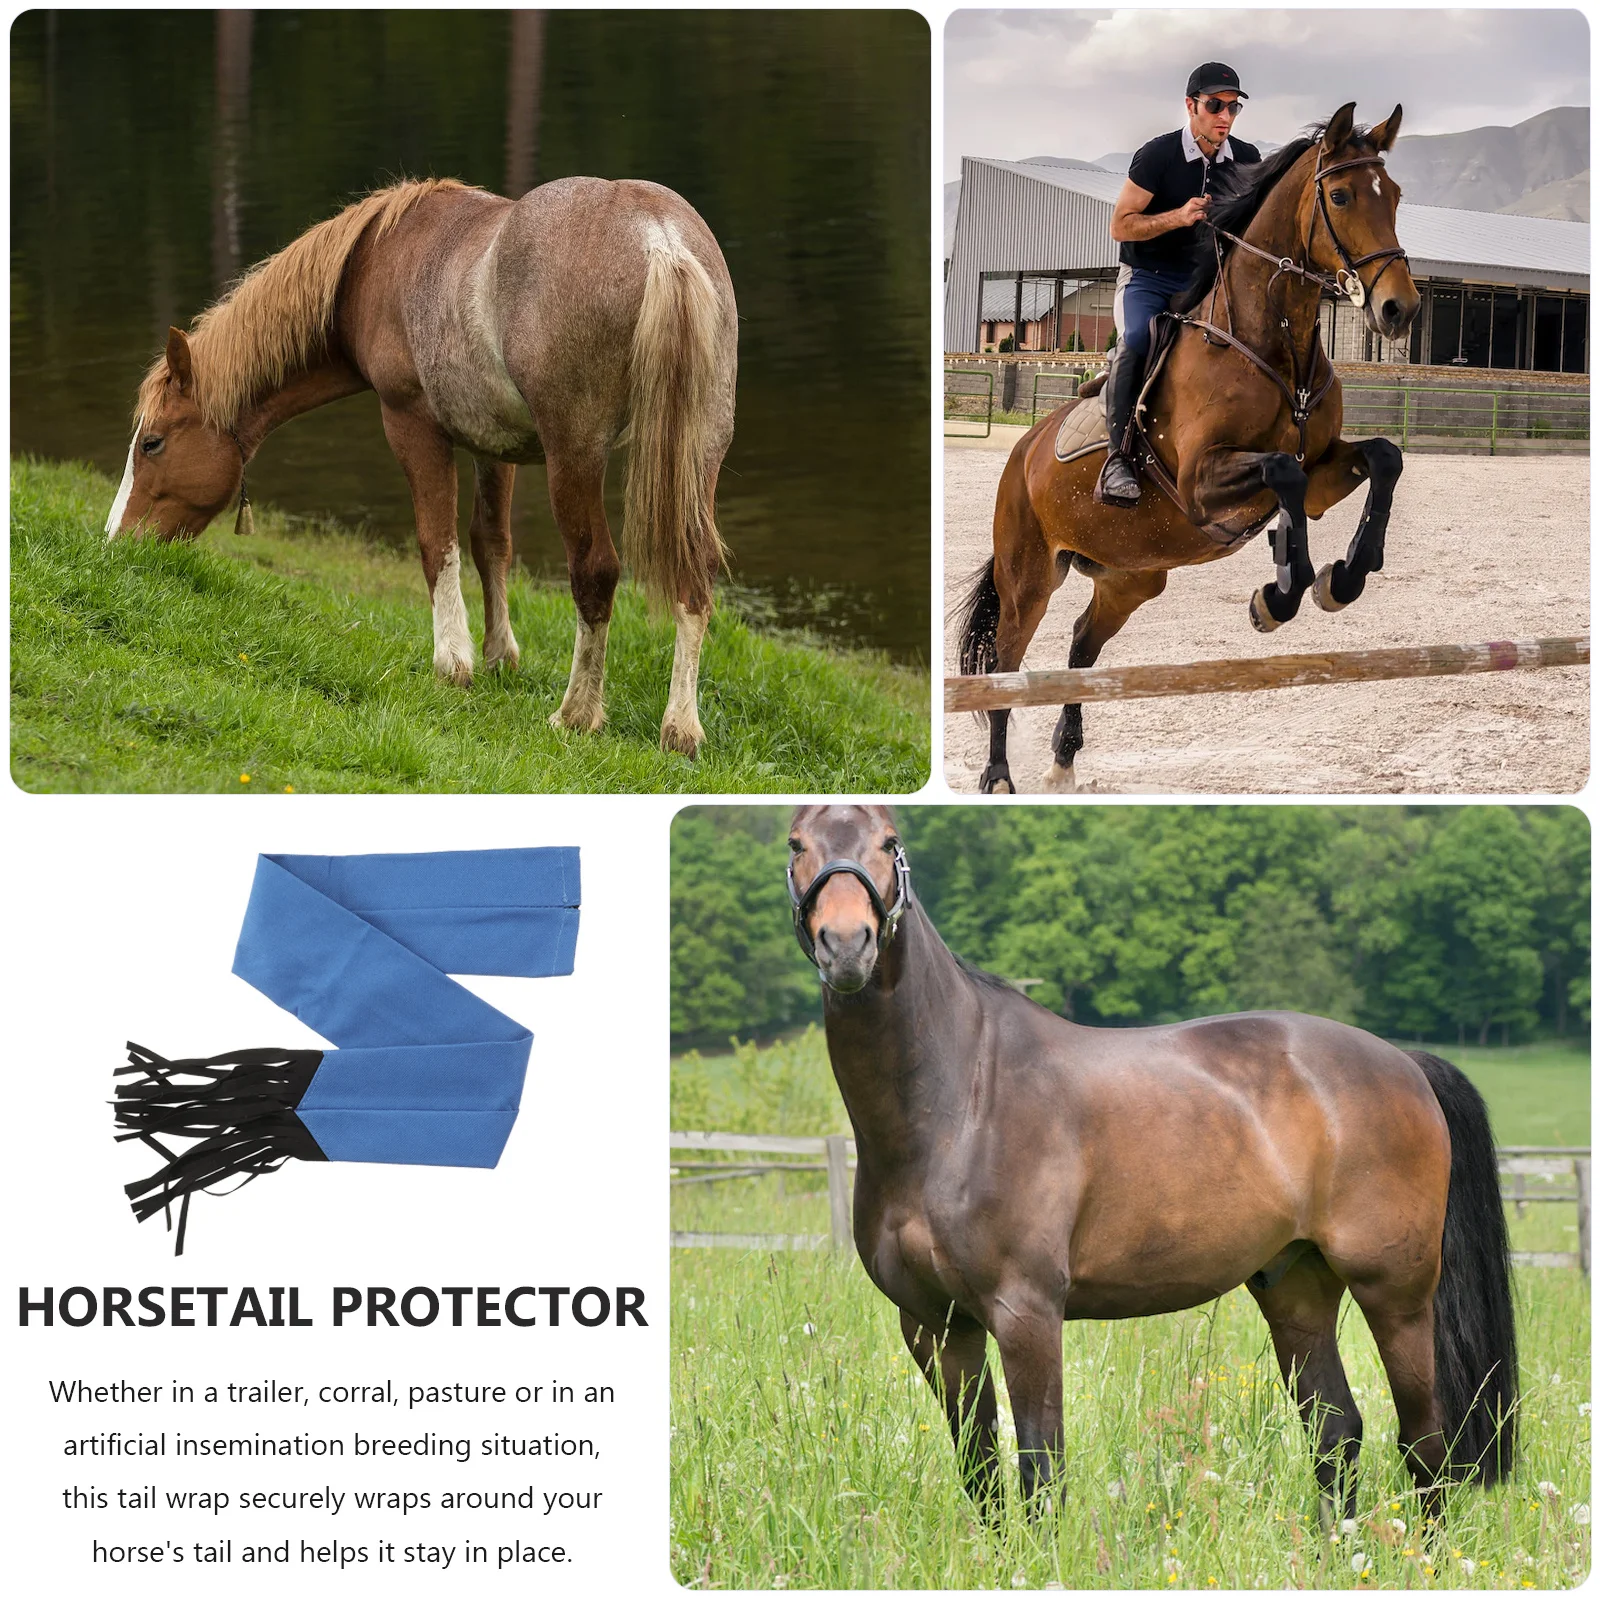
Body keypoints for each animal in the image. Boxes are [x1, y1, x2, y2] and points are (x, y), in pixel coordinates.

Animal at [104, 176, 738, 758]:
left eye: (152, 443)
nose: (115, 542)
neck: (371, 264)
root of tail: (660, 239)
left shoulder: (411, 424)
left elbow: (438, 544)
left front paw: (452, 662)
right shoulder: (493, 445)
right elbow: (489, 543)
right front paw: (499, 656)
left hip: (575, 457)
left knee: (595, 572)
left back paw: (577, 714)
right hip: (698, 452)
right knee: (695, 575)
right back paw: (680, 729)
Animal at [787, 804, 1517, 1522]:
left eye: (889, 841)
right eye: (797, 843)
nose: (846, 945)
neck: (959, 1098)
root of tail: (1405, 1064)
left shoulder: (1026, 1314)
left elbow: (1041, 1471)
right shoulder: (935, 1325)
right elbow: (982, 1473)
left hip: (1395, 1294)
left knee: (1425, 1443)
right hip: (1297, 1291)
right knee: (1337, 1432)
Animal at [958, 104, 1421, 793]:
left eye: (1393, 195)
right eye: (1340, 195)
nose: (1399, 310)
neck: (1272, 342)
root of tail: (1024, 452)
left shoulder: (1320, 472)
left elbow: (1384, 457)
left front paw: (1340, 581)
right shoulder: (1205, 483)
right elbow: (1281, 473)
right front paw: (1277, 598)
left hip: (1131, 577)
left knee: (1081, 644)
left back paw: (1064, 759)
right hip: (1028, 575)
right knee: (1006, 659)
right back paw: (998, 776)